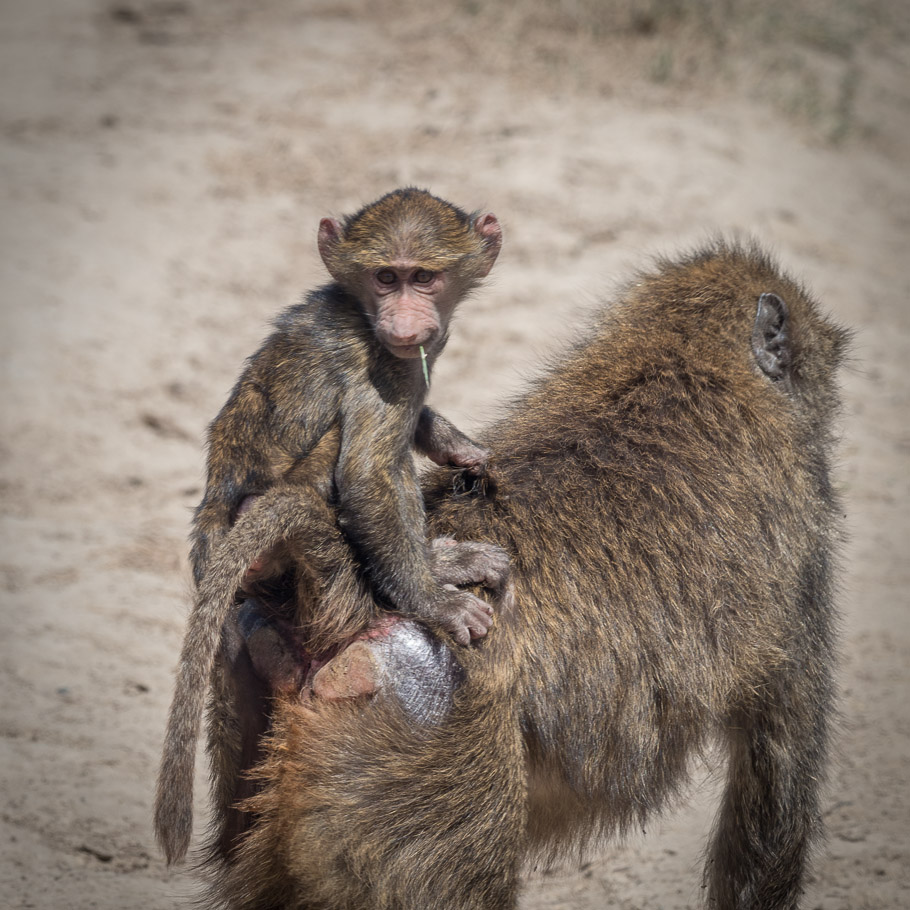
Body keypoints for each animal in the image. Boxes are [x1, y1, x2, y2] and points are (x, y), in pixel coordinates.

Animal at [154, 188, 507, 866]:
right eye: (385, 277)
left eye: (423, 277)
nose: (404, 321)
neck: (361, 311)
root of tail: (214, 534)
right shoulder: (385, 369)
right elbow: (370, 471)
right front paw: (436, 597)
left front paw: (460, 447)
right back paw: (440, 563)